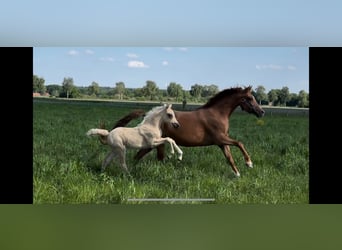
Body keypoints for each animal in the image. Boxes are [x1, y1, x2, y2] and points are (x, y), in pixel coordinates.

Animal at [111, 87, 264, 177]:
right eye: (250, 98)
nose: (261, 112)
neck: (217, 114)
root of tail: (147, 116)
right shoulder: (220, 138)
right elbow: (239, 143)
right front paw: (249, 163)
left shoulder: (222, 142)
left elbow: (229, 157)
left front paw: (237, 174)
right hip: (156, 143)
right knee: (152, 158)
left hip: (153, 144)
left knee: (140, 157)